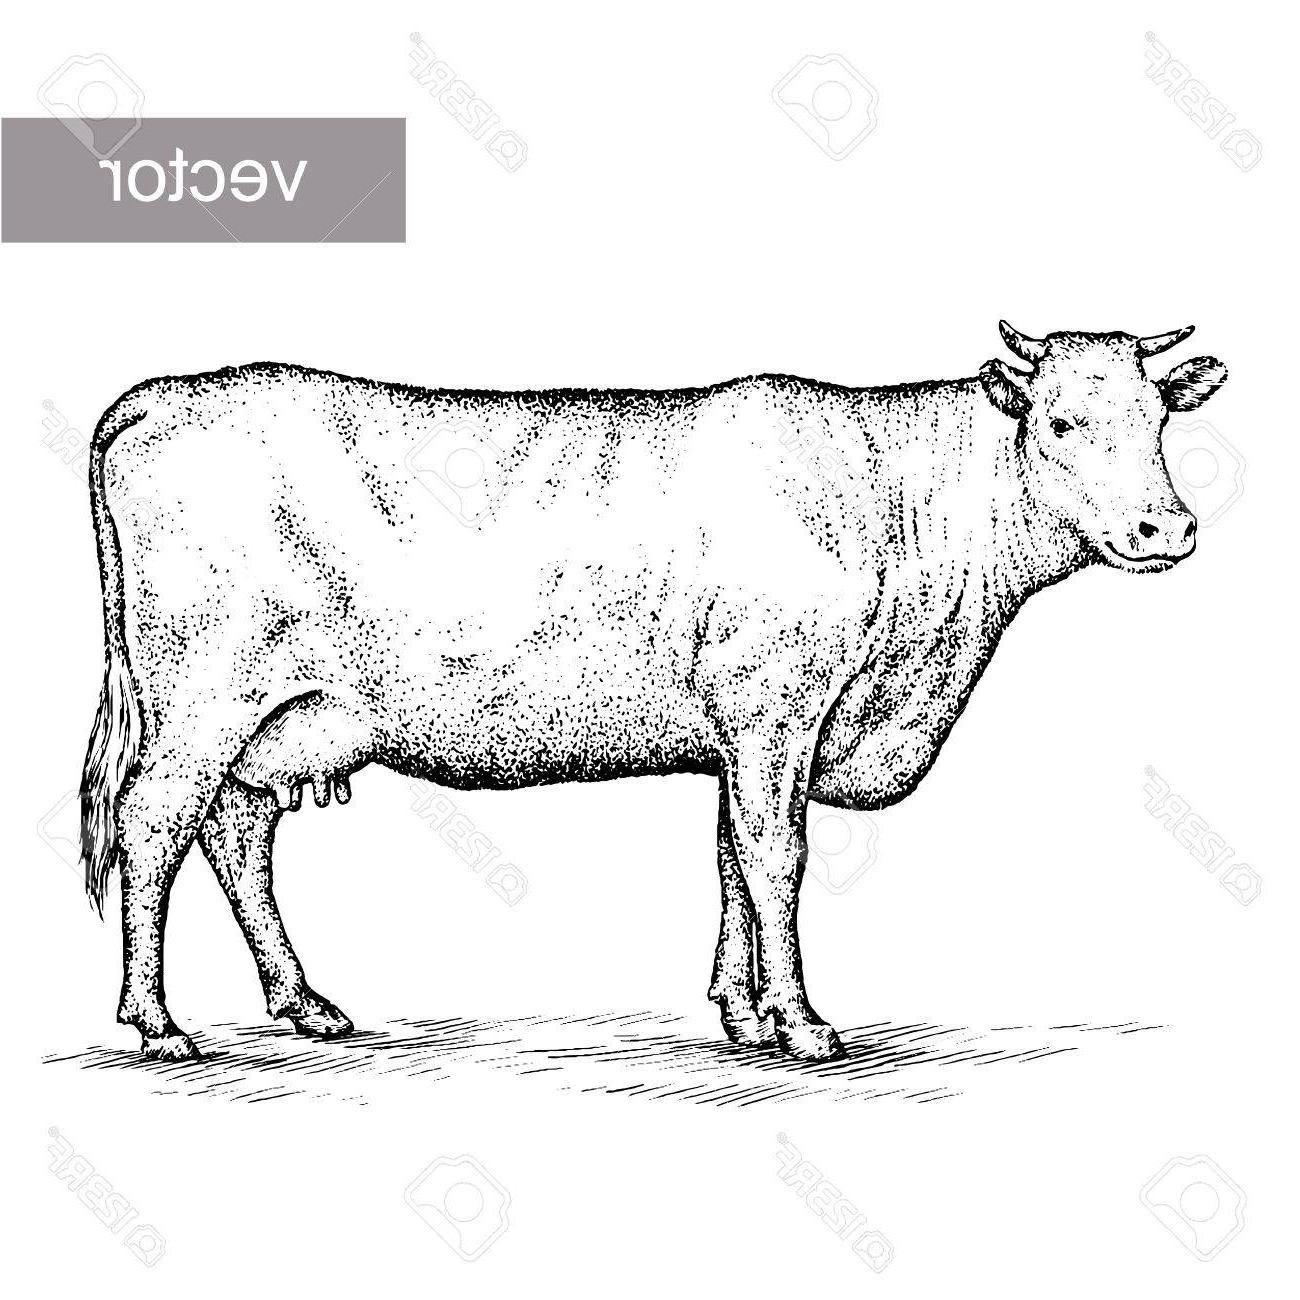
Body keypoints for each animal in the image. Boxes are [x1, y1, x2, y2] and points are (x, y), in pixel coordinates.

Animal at [79, 322, 1228, 1061]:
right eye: (1063, 423)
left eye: (1157, 419)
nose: (1165, 528)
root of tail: (169, 392)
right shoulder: (774, 709)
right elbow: (776, 858)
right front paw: (803, 1024)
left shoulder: (748, 731)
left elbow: (729, 859)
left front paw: (742, 1014)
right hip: (201, 697)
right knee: (153, 822)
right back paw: (157, 1023)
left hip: (274, 717)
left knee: (234, 833)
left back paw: (304, 1003)